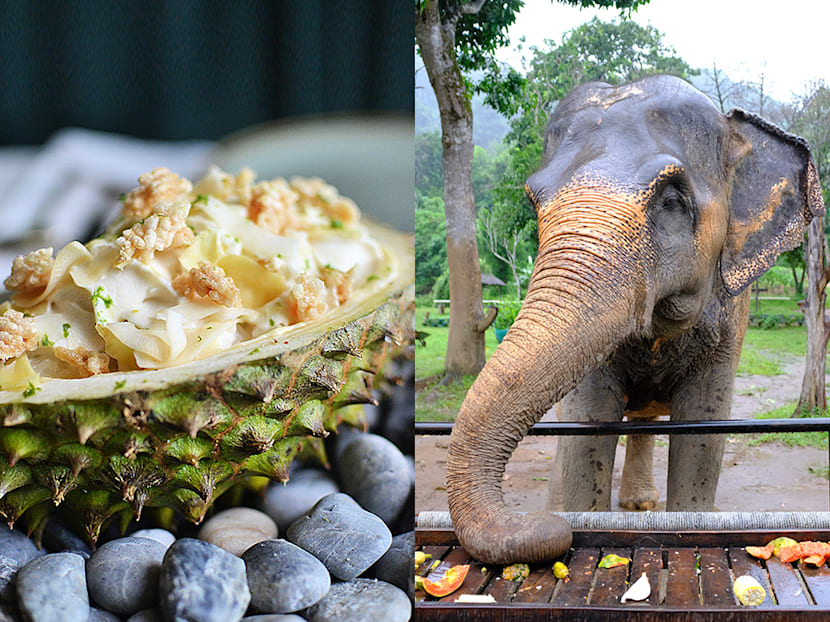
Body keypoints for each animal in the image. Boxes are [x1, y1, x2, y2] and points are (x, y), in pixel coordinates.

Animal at [446, 75, 825, 565]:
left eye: (672, 201)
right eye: (533, 203)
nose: (542, 526)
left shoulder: (732, 316)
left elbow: (704, 429)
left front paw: (692, 524)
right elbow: (588, 424)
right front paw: (580, 519)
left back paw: (640, 506)